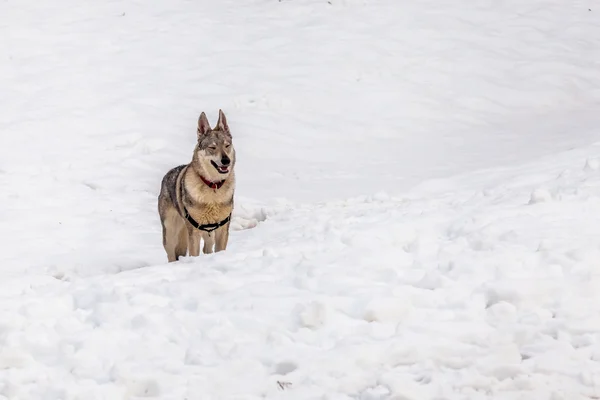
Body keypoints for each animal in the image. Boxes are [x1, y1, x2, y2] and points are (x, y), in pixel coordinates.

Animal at [158, 109, 236, 262]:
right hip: (171, 234)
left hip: (207, 234)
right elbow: (194, 253)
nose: (226, 161)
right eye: (212, 147)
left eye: (227, 145)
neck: (213, 188)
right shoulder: (194, 232)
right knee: (171, 255)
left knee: (207, 249)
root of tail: (166, 175)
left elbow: (220, 250)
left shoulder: (222, 229)